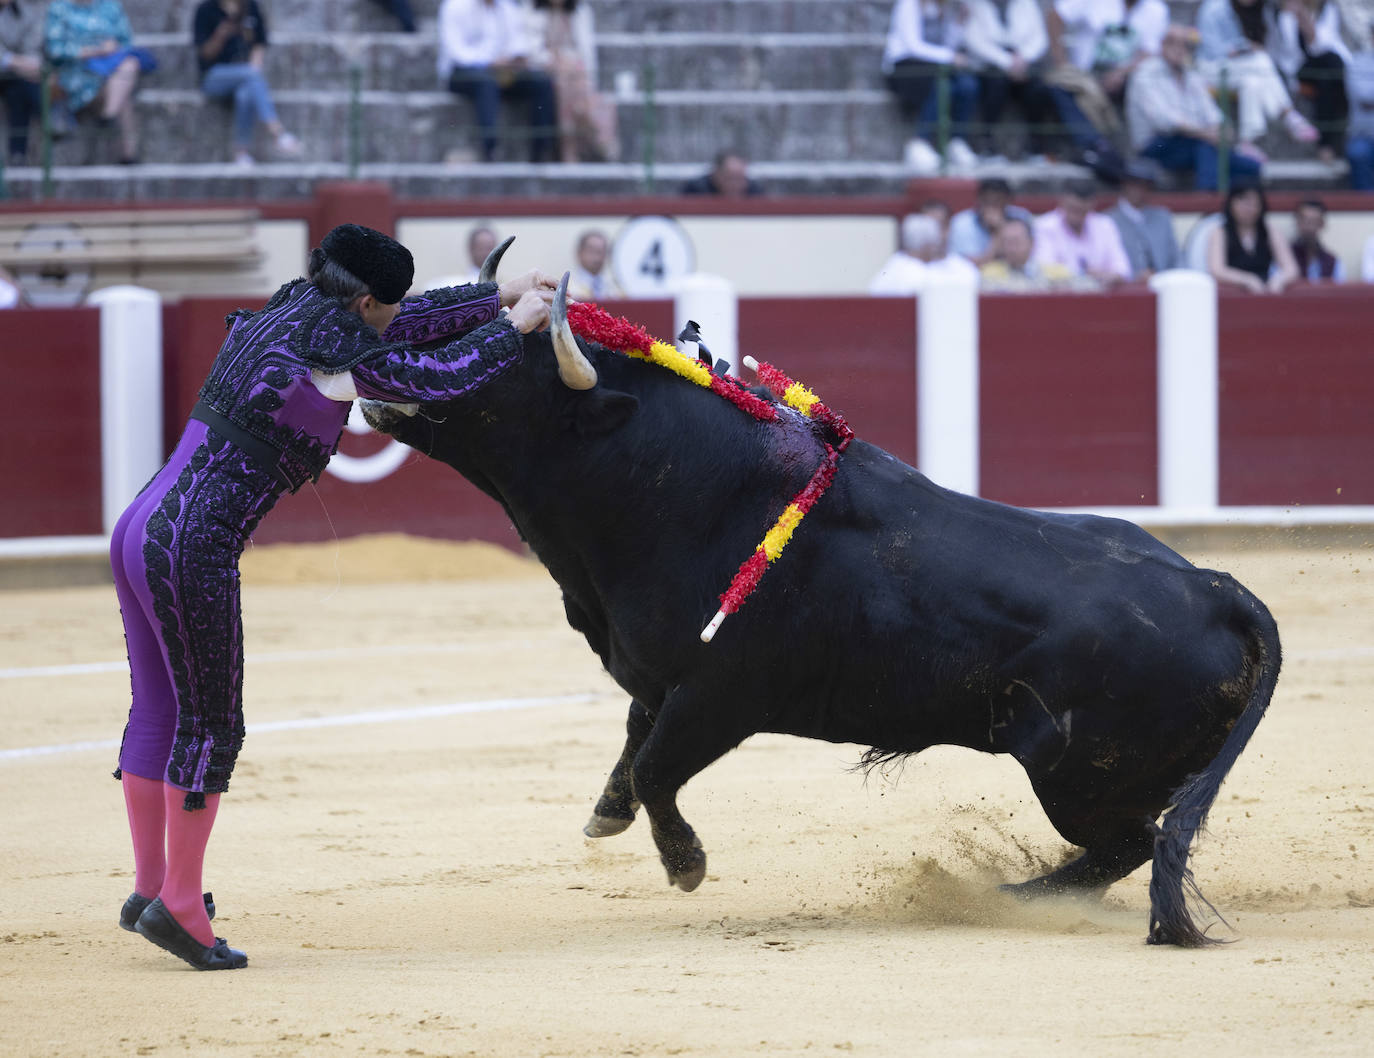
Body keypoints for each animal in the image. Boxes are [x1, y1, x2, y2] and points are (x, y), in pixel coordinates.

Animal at [362, 317, 1275, 945]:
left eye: (498, 367)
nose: (380, 363)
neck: (677, 483)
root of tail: (1216, 588)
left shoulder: (720, 697)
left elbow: (657, 767)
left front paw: (686, 866)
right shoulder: (660, 680)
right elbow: (633, 746)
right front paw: (605, 815)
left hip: (1080, 779)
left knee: (1131, 845)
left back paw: (1006, 898)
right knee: (1134, 847)